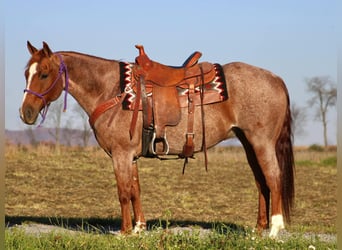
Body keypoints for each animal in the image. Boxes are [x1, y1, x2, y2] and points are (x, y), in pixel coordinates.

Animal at [19, 41, 294, 238]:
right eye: (26, 73)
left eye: (44, 74)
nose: (26, 113)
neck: (111, 90)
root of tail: (275, 78)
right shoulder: (130, 156)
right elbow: (135, 190)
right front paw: (139, 228)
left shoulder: (120, 155)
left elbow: (123, 191)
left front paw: (124, 232)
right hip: (248, 143)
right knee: (261, 182)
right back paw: (257, 230)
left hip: (261, 142)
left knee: (273, 177)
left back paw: (274, 229)